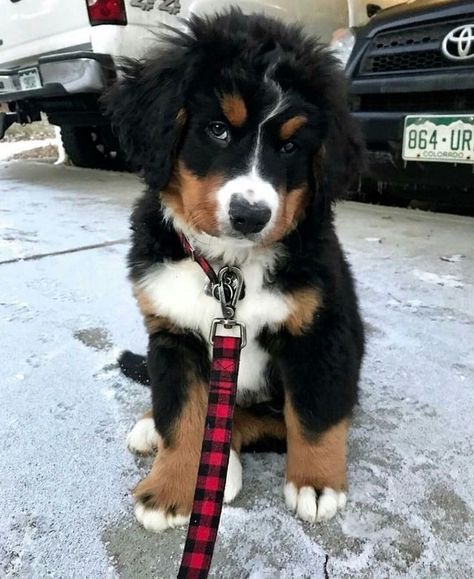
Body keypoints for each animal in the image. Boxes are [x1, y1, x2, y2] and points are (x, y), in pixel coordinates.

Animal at [105, 9, 364, 536]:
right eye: (218, 129)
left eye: (291, 147)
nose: (250, 215)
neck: (228, 265)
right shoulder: (174, 335)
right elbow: (181, 415)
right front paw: (171, 488)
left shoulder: (321, 332)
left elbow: (314, 415)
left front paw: (317, 484)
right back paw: (157, 429)